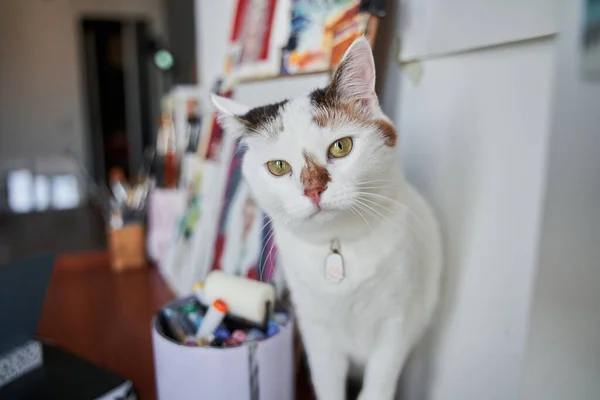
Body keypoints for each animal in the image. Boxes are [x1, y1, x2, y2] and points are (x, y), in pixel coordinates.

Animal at [211, 36, 440, 398]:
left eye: (341, 147)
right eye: (279, 166)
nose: (314, 189)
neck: (339, 246)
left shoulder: (396, 327)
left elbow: (378, 387)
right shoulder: (317, 333)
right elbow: (328, 383)